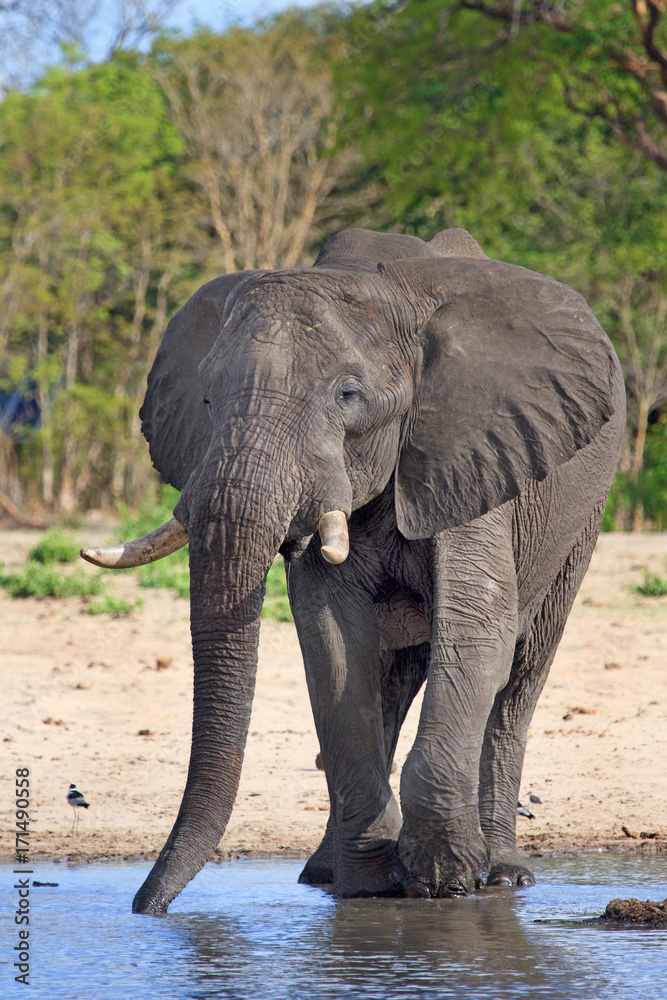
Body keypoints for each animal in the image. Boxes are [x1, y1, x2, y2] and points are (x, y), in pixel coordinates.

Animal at [81, 227, 625, 914]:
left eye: (348, 395)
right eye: (206, 397)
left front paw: (444, 883)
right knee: (391, 678)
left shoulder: (470, 453)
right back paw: (324, 873)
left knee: (520, 676)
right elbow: (334, 640)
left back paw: (502, 876)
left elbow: (477, 630)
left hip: (583, 515)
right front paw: (369, 887)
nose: (145, 908)